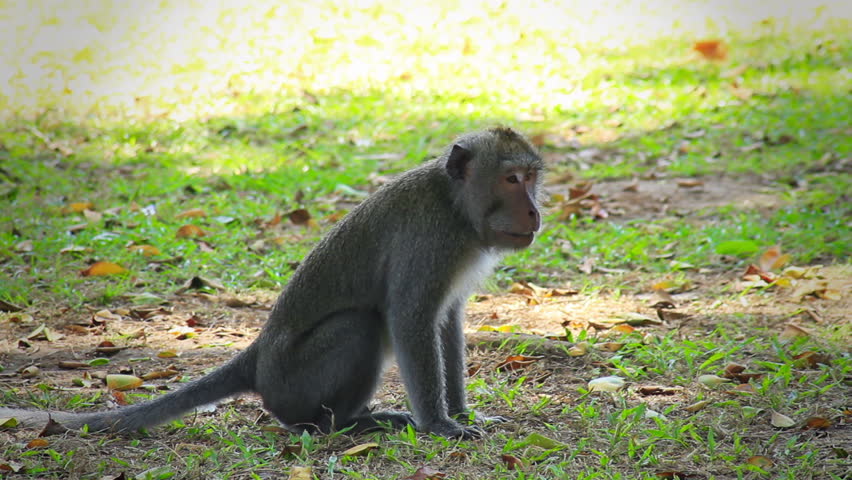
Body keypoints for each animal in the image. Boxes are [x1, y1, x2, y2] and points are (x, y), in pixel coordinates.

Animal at [0, 127, 544, 439]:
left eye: (531, 179)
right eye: (511, 180)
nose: (536, 211)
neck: (455, 205)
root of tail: (257, 358)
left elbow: (446, 322)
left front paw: (462, 414)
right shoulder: (431, 239)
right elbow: (411, 319)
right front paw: (440, 424)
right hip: (293, 382)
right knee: (359, 325)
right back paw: (343, 423)